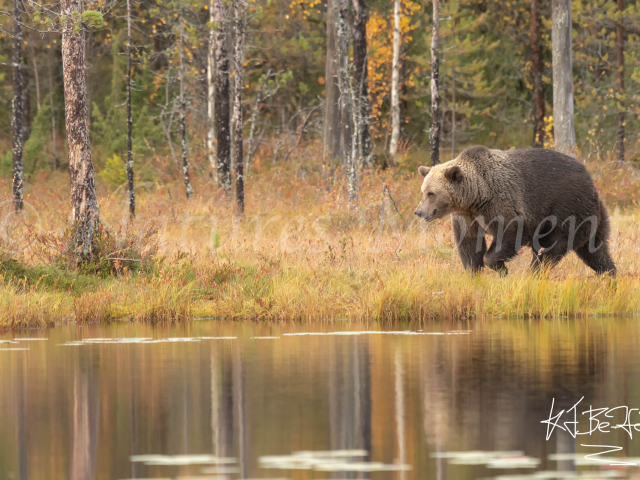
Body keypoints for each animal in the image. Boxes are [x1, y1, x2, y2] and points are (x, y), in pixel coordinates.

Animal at [412, 144, 616, 276]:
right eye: (423, 191)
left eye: (431, 193)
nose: (418, 211)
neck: (476, 196)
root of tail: (591, 181)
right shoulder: (467, 215)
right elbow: (469, 241)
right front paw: (473, 271)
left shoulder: (500, 203)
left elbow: (509, 232)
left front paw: (500, 267)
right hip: (593, 217)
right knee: (595, 250)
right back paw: (609, 274)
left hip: (568, 208)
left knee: (554, 246)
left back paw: (536, 269)